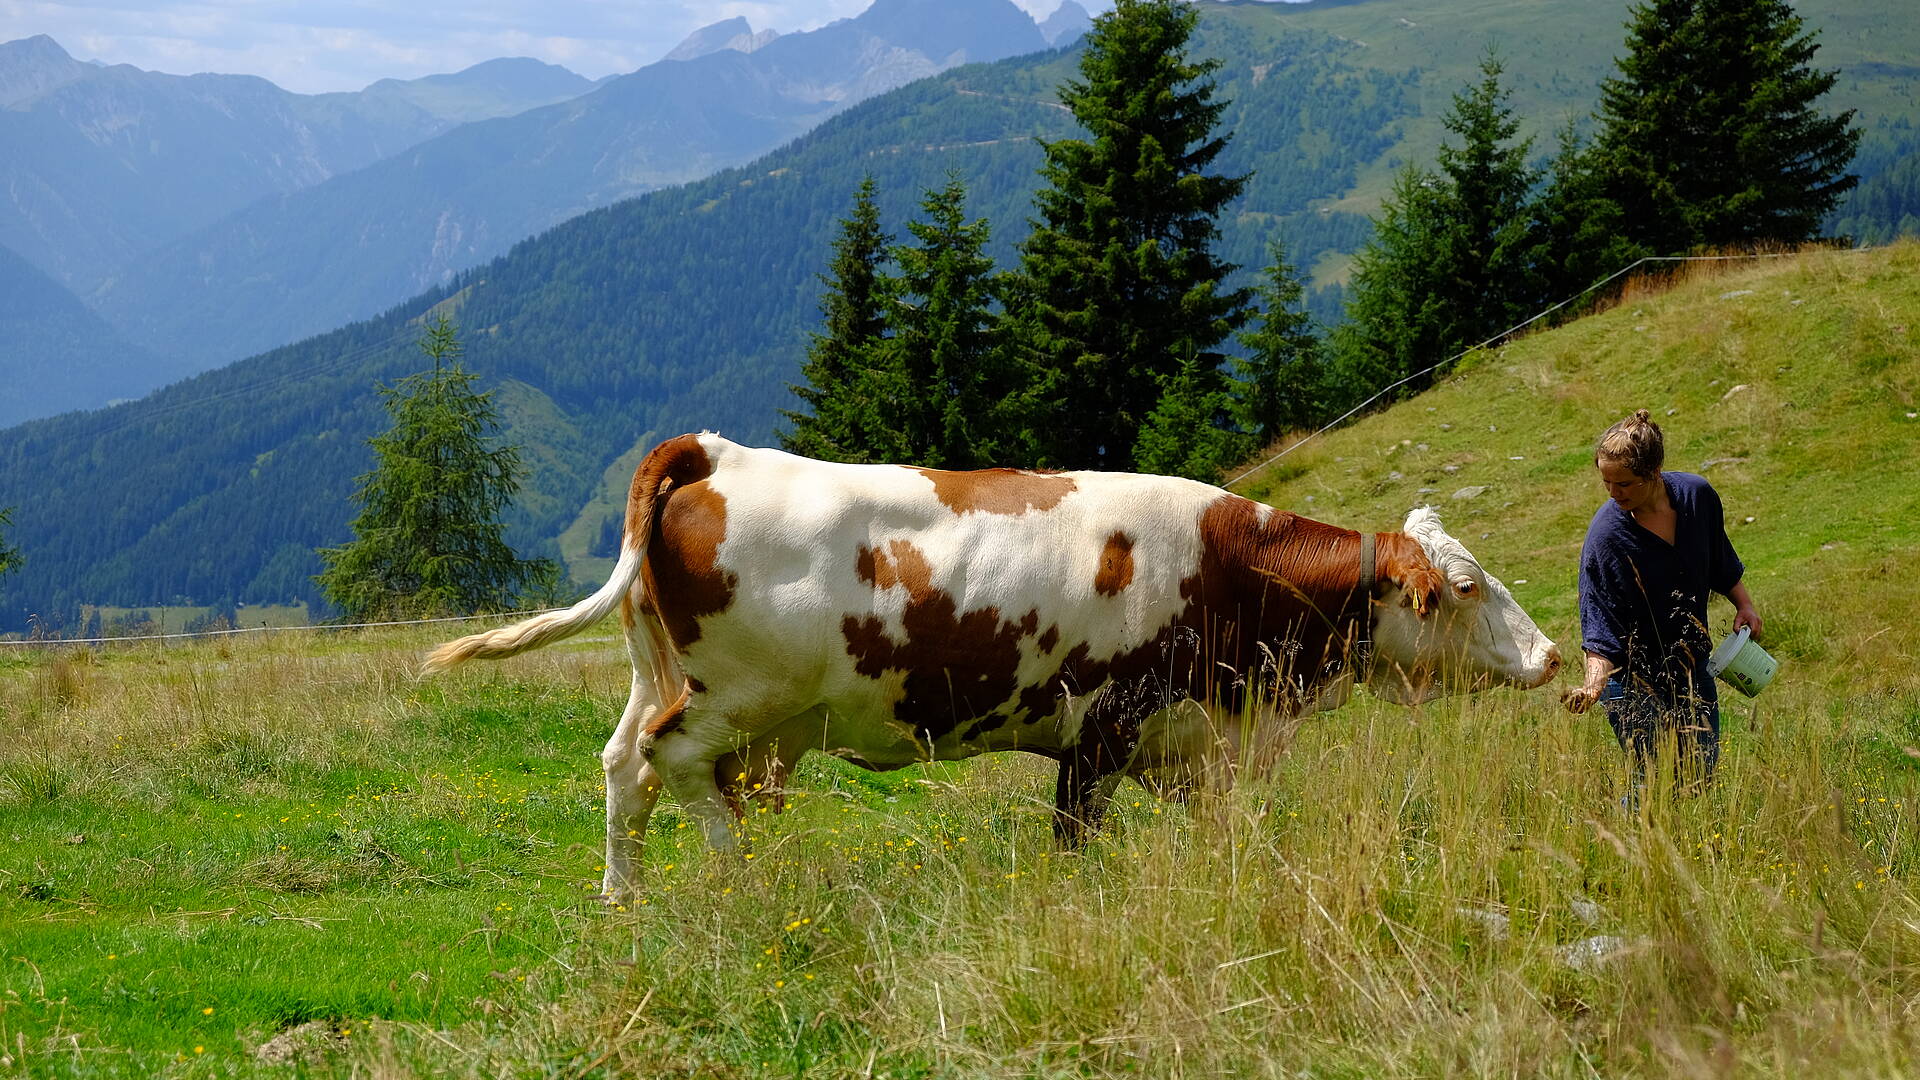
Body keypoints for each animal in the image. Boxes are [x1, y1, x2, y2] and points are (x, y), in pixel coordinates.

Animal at [424, 428, 1559, 891]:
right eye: (1466, 587)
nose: (1551, 654)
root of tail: (717, 451)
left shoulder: (1194, 740)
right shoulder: (1105, 729)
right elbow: (1073, 838)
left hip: (662, 674)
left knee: (626, 768)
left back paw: (625, 897)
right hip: (735, 694)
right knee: (679, 764)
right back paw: (736, 878)